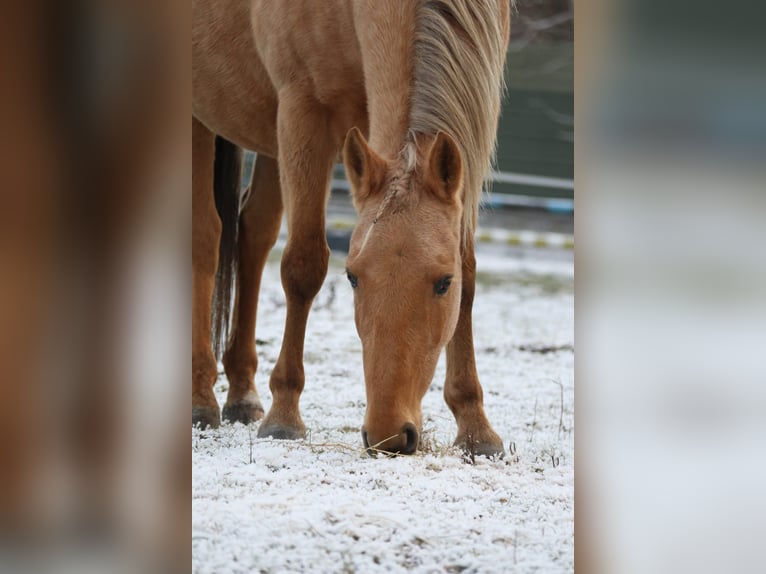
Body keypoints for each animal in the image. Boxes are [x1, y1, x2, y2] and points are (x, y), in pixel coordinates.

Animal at [194, 1, 510, 460]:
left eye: (443, 283)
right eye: (352, 278)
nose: (388, 435)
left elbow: (469, 274)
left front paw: (476, 428)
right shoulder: (302, 113)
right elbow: (303, 266)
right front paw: (284, 416)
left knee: (254, 233)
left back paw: (242, 395)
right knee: (206, 237)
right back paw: (202, 398)